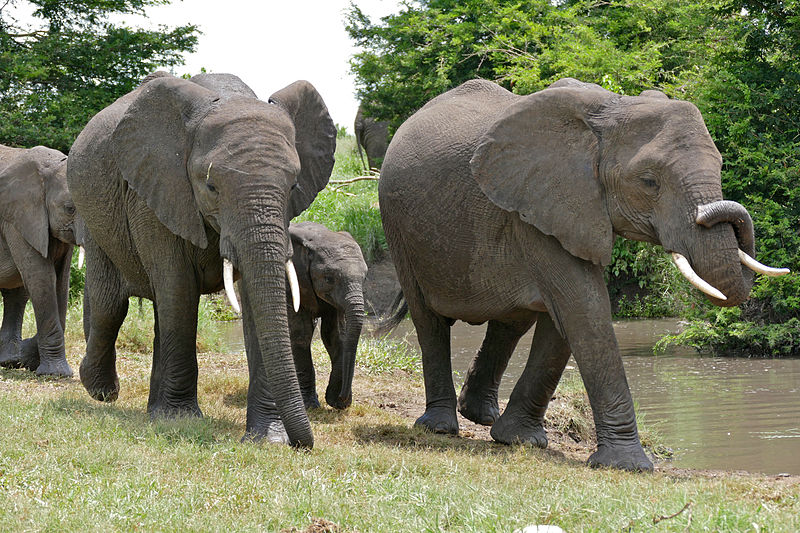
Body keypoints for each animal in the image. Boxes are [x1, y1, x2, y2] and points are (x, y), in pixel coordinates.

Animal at [0, 143, 76, 376]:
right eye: (70, 208)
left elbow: (61, 279)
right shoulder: (17, 218)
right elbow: (42, 277)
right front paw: (56, 374)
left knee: (16, 292)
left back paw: (8, 360)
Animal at [65, 69, 334, 444]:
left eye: (294, 185)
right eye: (211, 187)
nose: (304, 445)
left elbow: (255, 297)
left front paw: (268, 437)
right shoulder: (154, 190)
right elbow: (178, 289)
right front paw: (179, 420)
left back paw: (150, 408)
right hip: (94, 217)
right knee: (111, 303)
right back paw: (101, 391)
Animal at [288, 219, 368, 408]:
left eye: (364, 278)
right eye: (329, 278)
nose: (343, 398)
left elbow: (335, 335)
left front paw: (336, 402)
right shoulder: (295, 283)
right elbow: (301, 335)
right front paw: (310, 405)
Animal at [380, 78, 788, 470]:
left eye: (719, 165)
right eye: (649, 181)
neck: (614, 107)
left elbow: (566, 321)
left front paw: (521, 440)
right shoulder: (540, 208)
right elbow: (583, 309)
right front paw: (630, 466)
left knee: (513, 321)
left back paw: (480, 416)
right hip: (398, 226)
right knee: (429, 321)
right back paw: (440, 427)